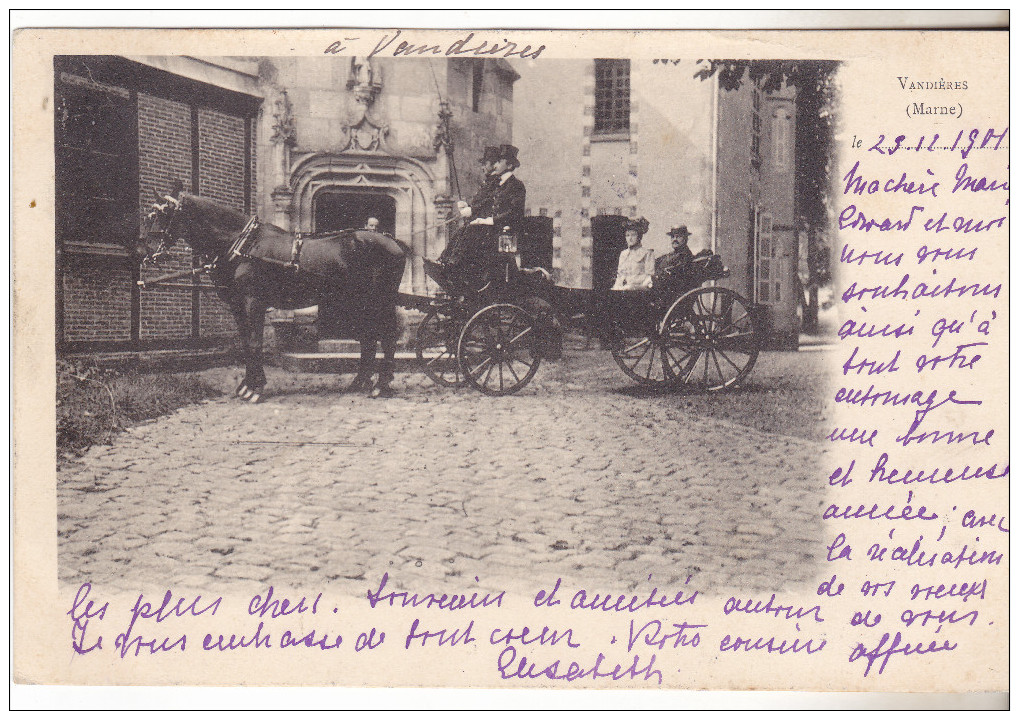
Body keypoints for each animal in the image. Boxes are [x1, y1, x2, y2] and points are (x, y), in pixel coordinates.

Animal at [140, 187, 409, 399]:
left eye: (164, 215)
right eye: (151, 215)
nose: (144, 252)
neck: (243, 245)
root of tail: (394, 243)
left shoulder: (253, 302)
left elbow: (255, 342)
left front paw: (255, 389)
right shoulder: (237, 305)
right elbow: (246, 343)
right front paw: (247, 384)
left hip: (379, 301)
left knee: (386, 337)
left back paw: (381, 385)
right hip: (358, 302)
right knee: (368, 339)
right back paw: (359, 382)